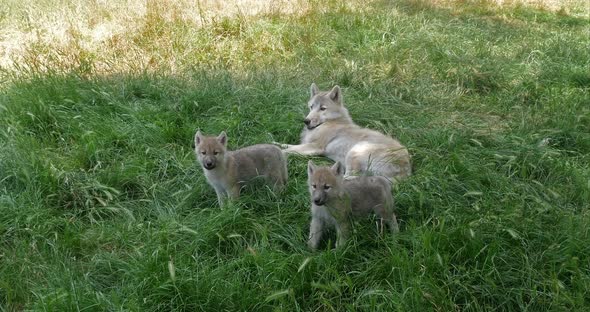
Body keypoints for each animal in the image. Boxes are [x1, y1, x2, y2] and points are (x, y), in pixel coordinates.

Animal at [276, 84, 412, 184]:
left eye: (322, 108)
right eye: (311, 107)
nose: (306, 121)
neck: (330, 122)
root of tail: (406, 169)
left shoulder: (315, 147)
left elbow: (286, 150)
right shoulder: (306, 144)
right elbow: (286, 145)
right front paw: (274, 143)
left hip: (354, 151)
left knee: (350, 179)